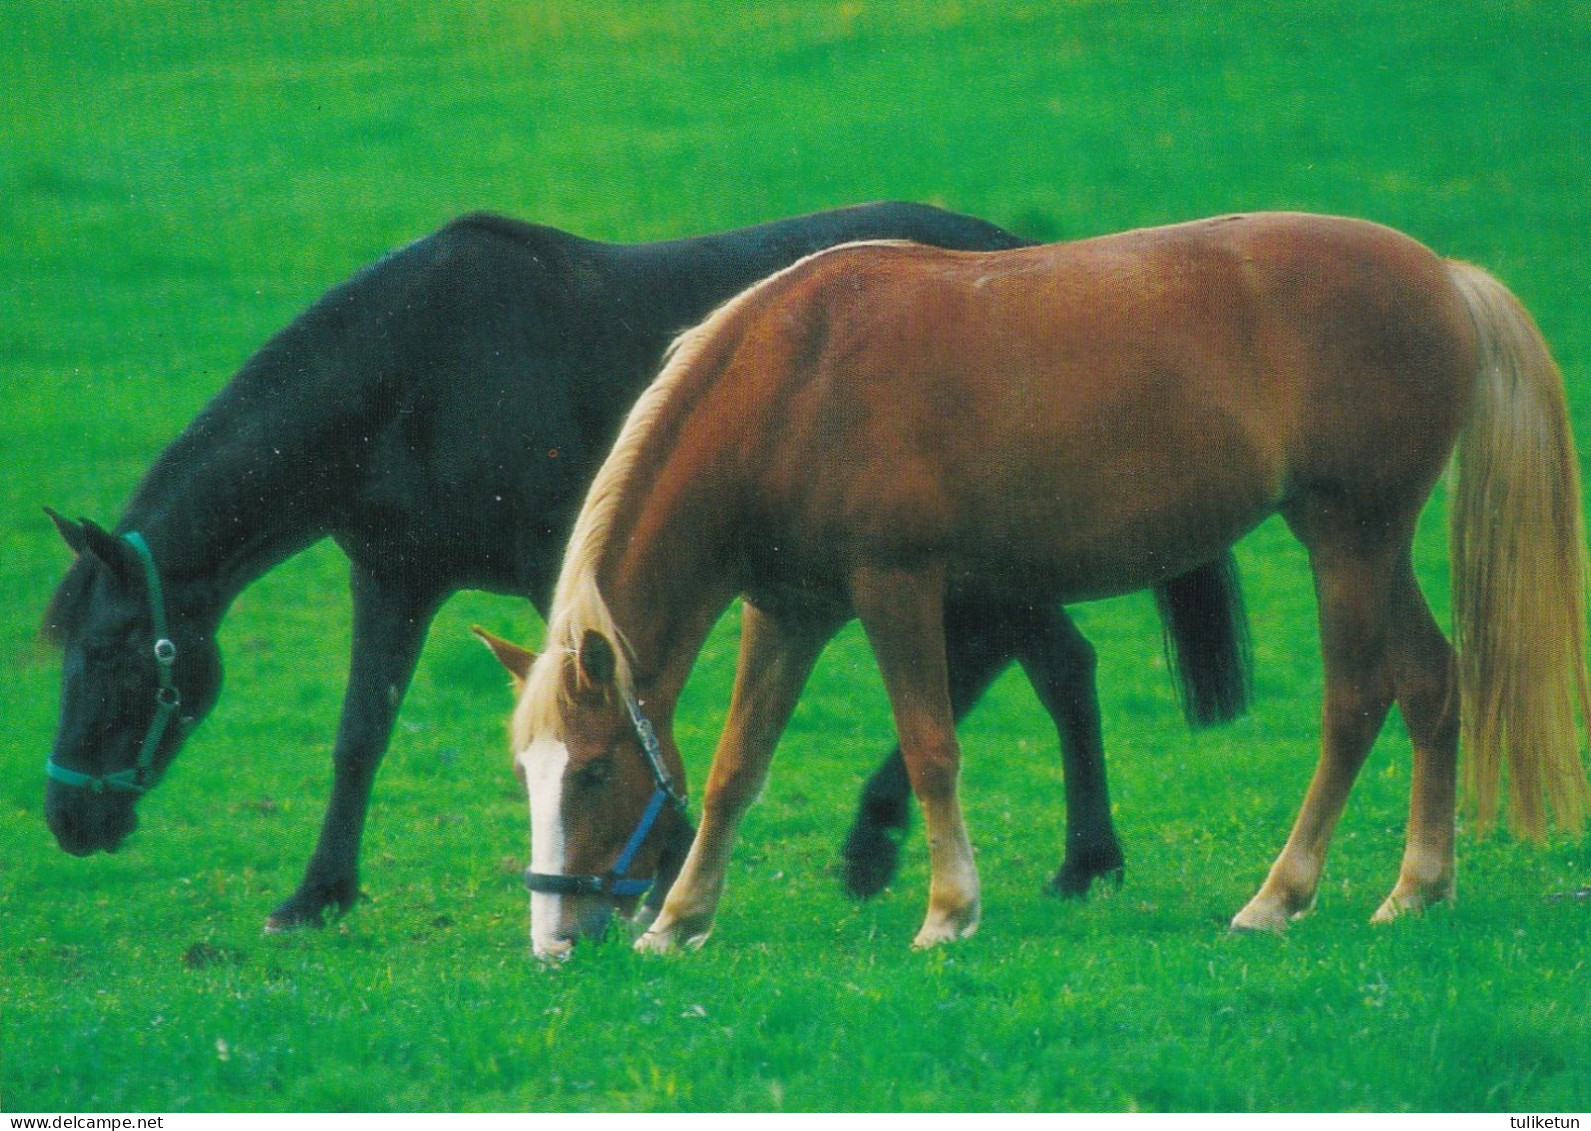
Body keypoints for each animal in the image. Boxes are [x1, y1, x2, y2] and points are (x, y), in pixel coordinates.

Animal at [43, 203, 1247, 928]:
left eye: (116, 655)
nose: (67, 821)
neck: (420, 369)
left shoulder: (568, 574)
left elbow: (623, 715)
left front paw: (646, 872)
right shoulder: (392, 578)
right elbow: (358, 739)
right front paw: (319, 894)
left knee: (1053, 667)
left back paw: (1057, 858)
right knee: (1034, 660)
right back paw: (925, 847)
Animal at [509, 214, 1591, 954]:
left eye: (594, 770)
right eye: (528, 775)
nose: (554, 943)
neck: (795, 379)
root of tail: (1443, 277)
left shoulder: (895, 588)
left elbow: (930, 746)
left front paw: (948, 910)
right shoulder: (789, 611)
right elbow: (739, 763)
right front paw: (681, 919)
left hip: (1347, 539)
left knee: (1358, 702)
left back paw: (1277, 897)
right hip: (1365, 542)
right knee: (1433, 683)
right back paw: (1415, 888)